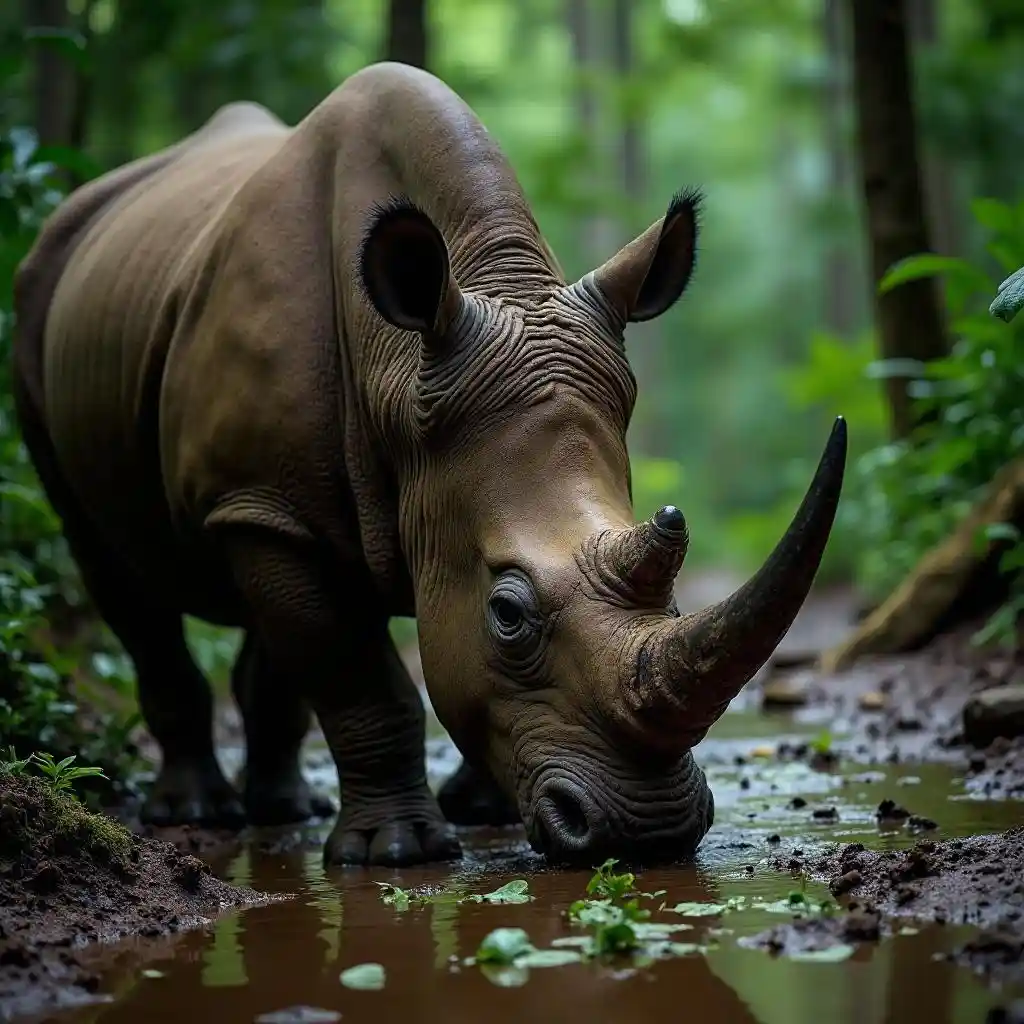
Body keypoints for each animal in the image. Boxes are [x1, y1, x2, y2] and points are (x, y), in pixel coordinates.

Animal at [12, 61, 846, 867]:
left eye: (673, 600)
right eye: (508, 615)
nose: (652, 831)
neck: (401, 376)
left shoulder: (295, 495)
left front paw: (485, 813)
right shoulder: (261, 498)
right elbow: (359, 675)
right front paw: (395, 853)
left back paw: (284, 808)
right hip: (43, 315)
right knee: (112, 564)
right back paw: (198, 813)